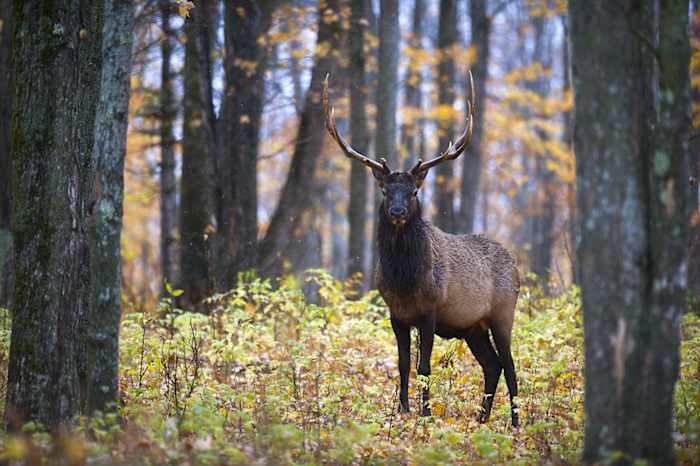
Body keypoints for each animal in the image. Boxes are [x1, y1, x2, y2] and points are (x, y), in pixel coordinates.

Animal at [322, 72, 520, 427]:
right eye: (385, 190)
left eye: (414, 191)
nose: (398, 211)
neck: (405, 282)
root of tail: (516, 265)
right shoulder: (396, 314)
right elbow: (402, 364)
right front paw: (402, 410)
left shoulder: (431, 310)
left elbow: (424, 366)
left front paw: (426, 414)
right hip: (473, 326)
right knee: (492, 364)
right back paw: (480, 419)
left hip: (503, 312)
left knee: (510, 364)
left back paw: (515, 422)